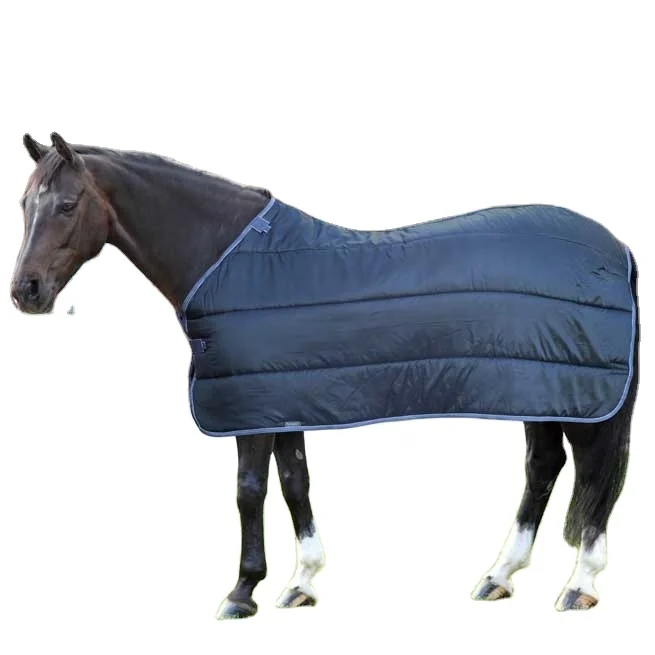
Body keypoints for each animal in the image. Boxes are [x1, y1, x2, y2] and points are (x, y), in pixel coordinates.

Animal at [10, 132, 640, 617]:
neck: (227, 261)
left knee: (590, 473)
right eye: (23, 203)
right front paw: (302, 582)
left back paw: (580, 583)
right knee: (544, 467)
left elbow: (249, 490)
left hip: (579, 397)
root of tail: (619, 248)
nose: (25, 292)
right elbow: (295, 484)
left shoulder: (251, 408)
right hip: (543, 389)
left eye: (67, 204)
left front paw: (243, 591)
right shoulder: (282, 401)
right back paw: (500, 575)